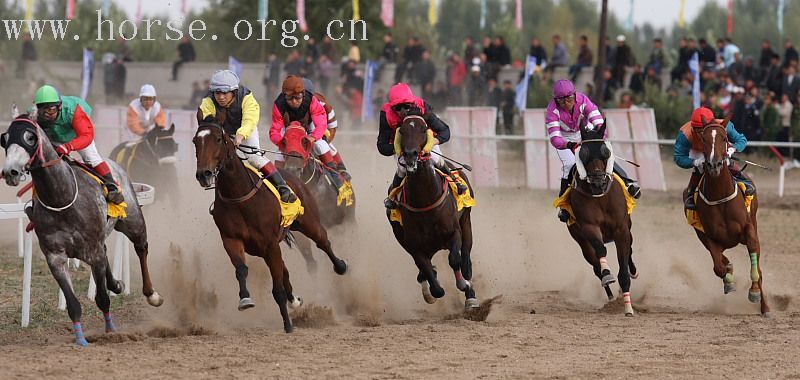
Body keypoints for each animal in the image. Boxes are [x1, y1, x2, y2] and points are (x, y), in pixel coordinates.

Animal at [0, 117, 164, 346]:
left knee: (141, 248)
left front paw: (110, 331)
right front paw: (80, 338)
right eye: (5, 139)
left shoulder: (92, 251)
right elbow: (72, 303)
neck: (62, 198)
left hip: (132, 221)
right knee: (107, 253)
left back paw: (151, 294)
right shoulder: (55, 256)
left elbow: (102, 298)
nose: (10, 172)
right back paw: (116, 284)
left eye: (30, 138)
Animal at [193, 119, 346, 332]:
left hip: (308, 223)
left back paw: (340, 266)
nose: (203, 174)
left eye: (217, 139)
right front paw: (245, 299)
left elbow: (277, 289)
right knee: (285, 270)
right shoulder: (232, 240)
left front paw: (288, 325)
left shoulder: (270, 244)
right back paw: (294, 300)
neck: (239, 197)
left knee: (323, 242)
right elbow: (241, 269)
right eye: (195, 142)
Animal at [390, 115, 478, 308]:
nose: (410, 155)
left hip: (466, 220)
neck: (426, 200)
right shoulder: (415, 246)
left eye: (424, 129)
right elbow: (433, 281)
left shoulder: (454, 232)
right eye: (402, 131)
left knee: (466, 256)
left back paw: (470, 293)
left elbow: (455, 259)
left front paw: (464, 285)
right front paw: (431, 290)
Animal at [568, 123, 636, 316]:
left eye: (605, 152)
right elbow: (600, 251)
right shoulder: (589, 227)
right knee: (595, 265)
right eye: (583, 154)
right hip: (581, 242)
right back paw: (611, 295)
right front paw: (607, 274)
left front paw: (628, 308)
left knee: (630, 250)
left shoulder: (622, 230)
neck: (600, 197)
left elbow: (624, 269)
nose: (598, 182)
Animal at [680, 116, 768, 318]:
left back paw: (765, 307)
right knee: (722, 260)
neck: (720, 196)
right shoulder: (709, 237)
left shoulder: (749, 230)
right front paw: (729, 281)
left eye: (725, 137)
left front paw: (754, 292)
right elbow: (718, 267)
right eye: (703, 138)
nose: (714, 165)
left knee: (758, 267)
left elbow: (755, 266)